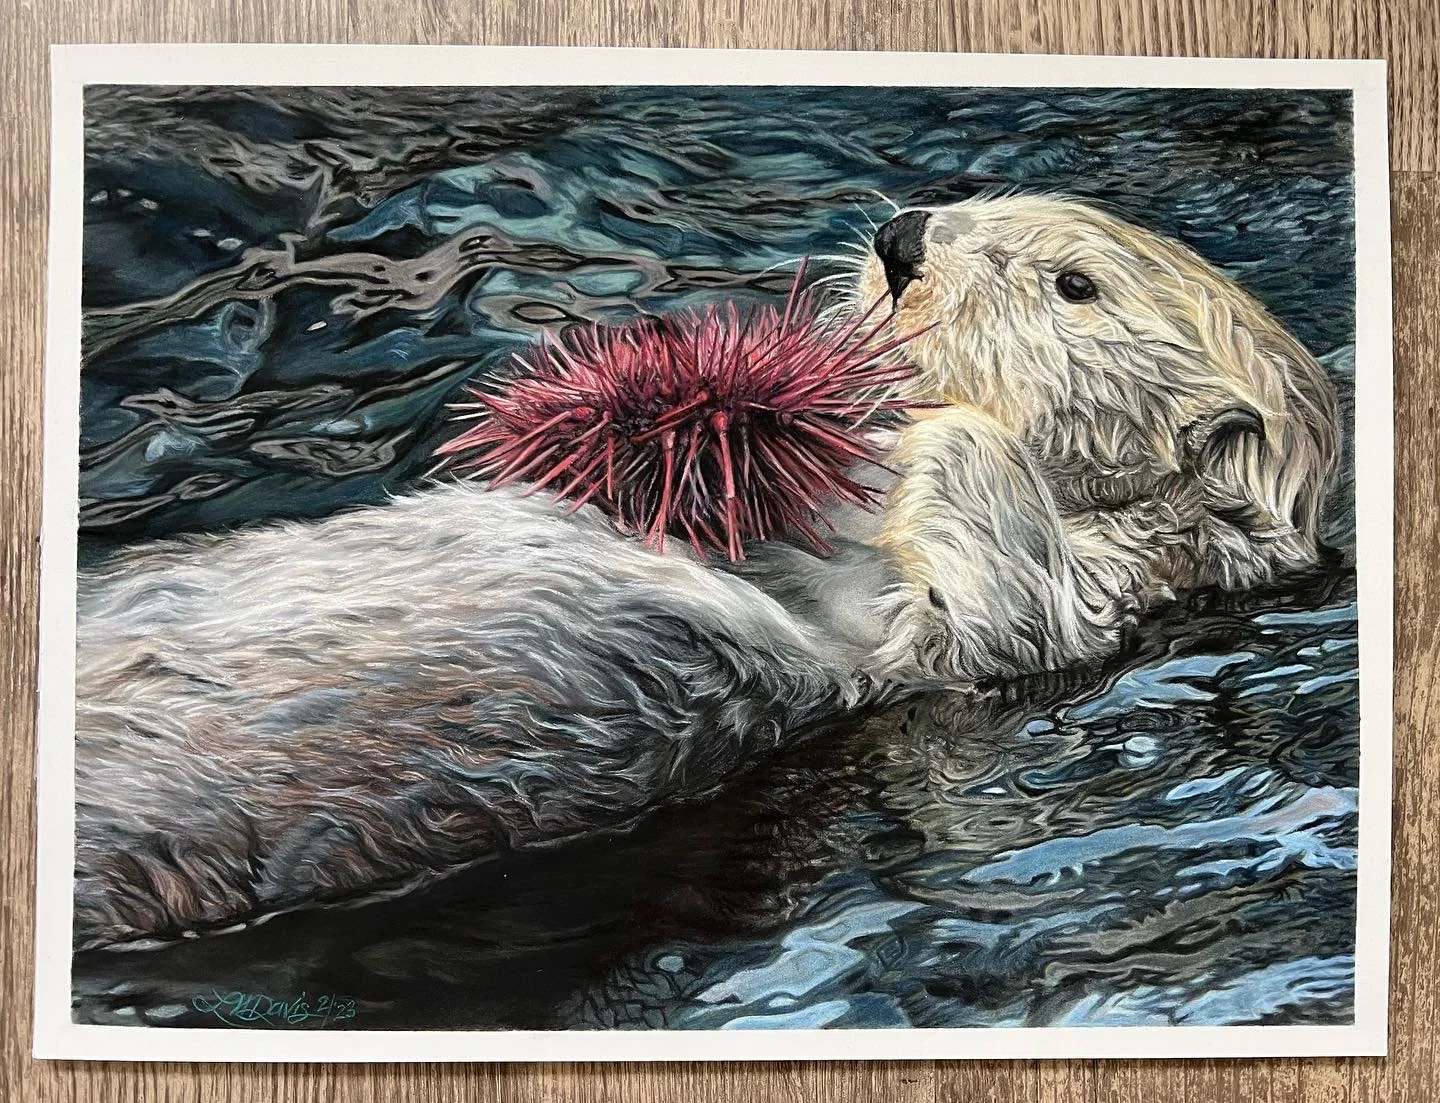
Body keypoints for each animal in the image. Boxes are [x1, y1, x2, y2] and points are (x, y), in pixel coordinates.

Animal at [72, 197, 1340, 950]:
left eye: (1074, 285)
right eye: (976, 203)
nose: (906, 237)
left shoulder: (1052, 620)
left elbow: (980, 594)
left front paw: (932, 433)